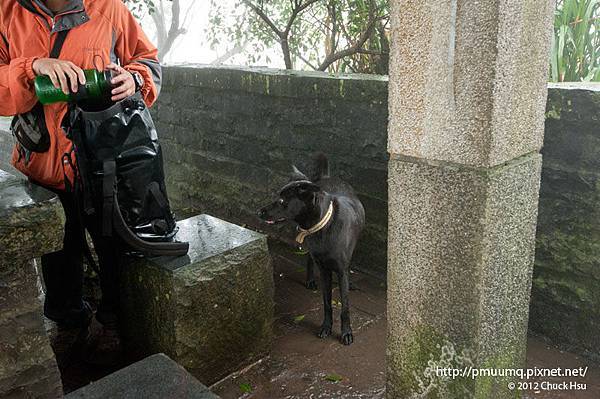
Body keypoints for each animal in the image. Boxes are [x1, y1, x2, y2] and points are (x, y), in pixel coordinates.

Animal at [258, 155, 366, 346]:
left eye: (282, 201)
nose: (259, 212)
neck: (326, 224)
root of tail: (327, 176)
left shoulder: (340, 270)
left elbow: (345, 306)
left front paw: (346, 332)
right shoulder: (324, 270)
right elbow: (327, 303)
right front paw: (326, 327)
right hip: (311, 248)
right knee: (309, 259)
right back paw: (309, 280)